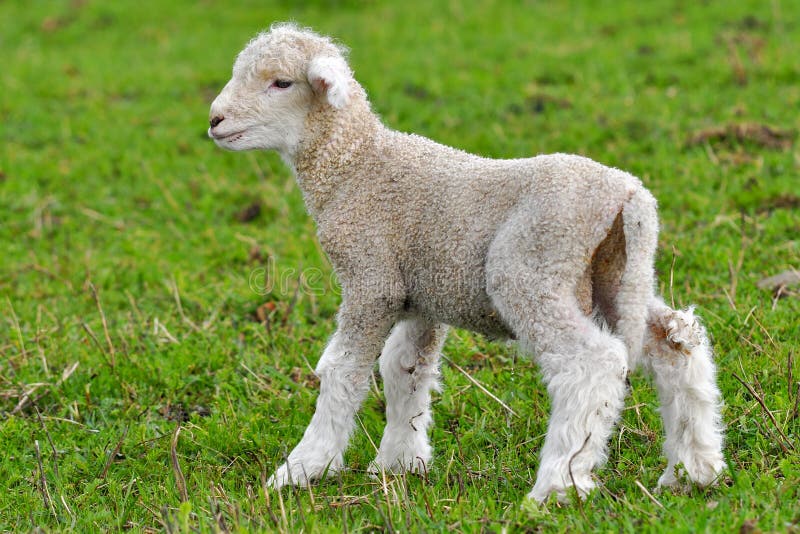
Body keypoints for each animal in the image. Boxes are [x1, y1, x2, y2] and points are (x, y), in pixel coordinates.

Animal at [208, 23, 726, 503]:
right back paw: (694, 470)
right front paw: (400, 464)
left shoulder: (371, 277)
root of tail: (627, 196)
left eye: (280, 83)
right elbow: (405, 369)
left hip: (531, 267)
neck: (355, 167)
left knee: (591, 363)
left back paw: (556, 487)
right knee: (675, 341)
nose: (214, 120)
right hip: (614, 273)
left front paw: (303, 470)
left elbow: (343, 370)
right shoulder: (421, 295)